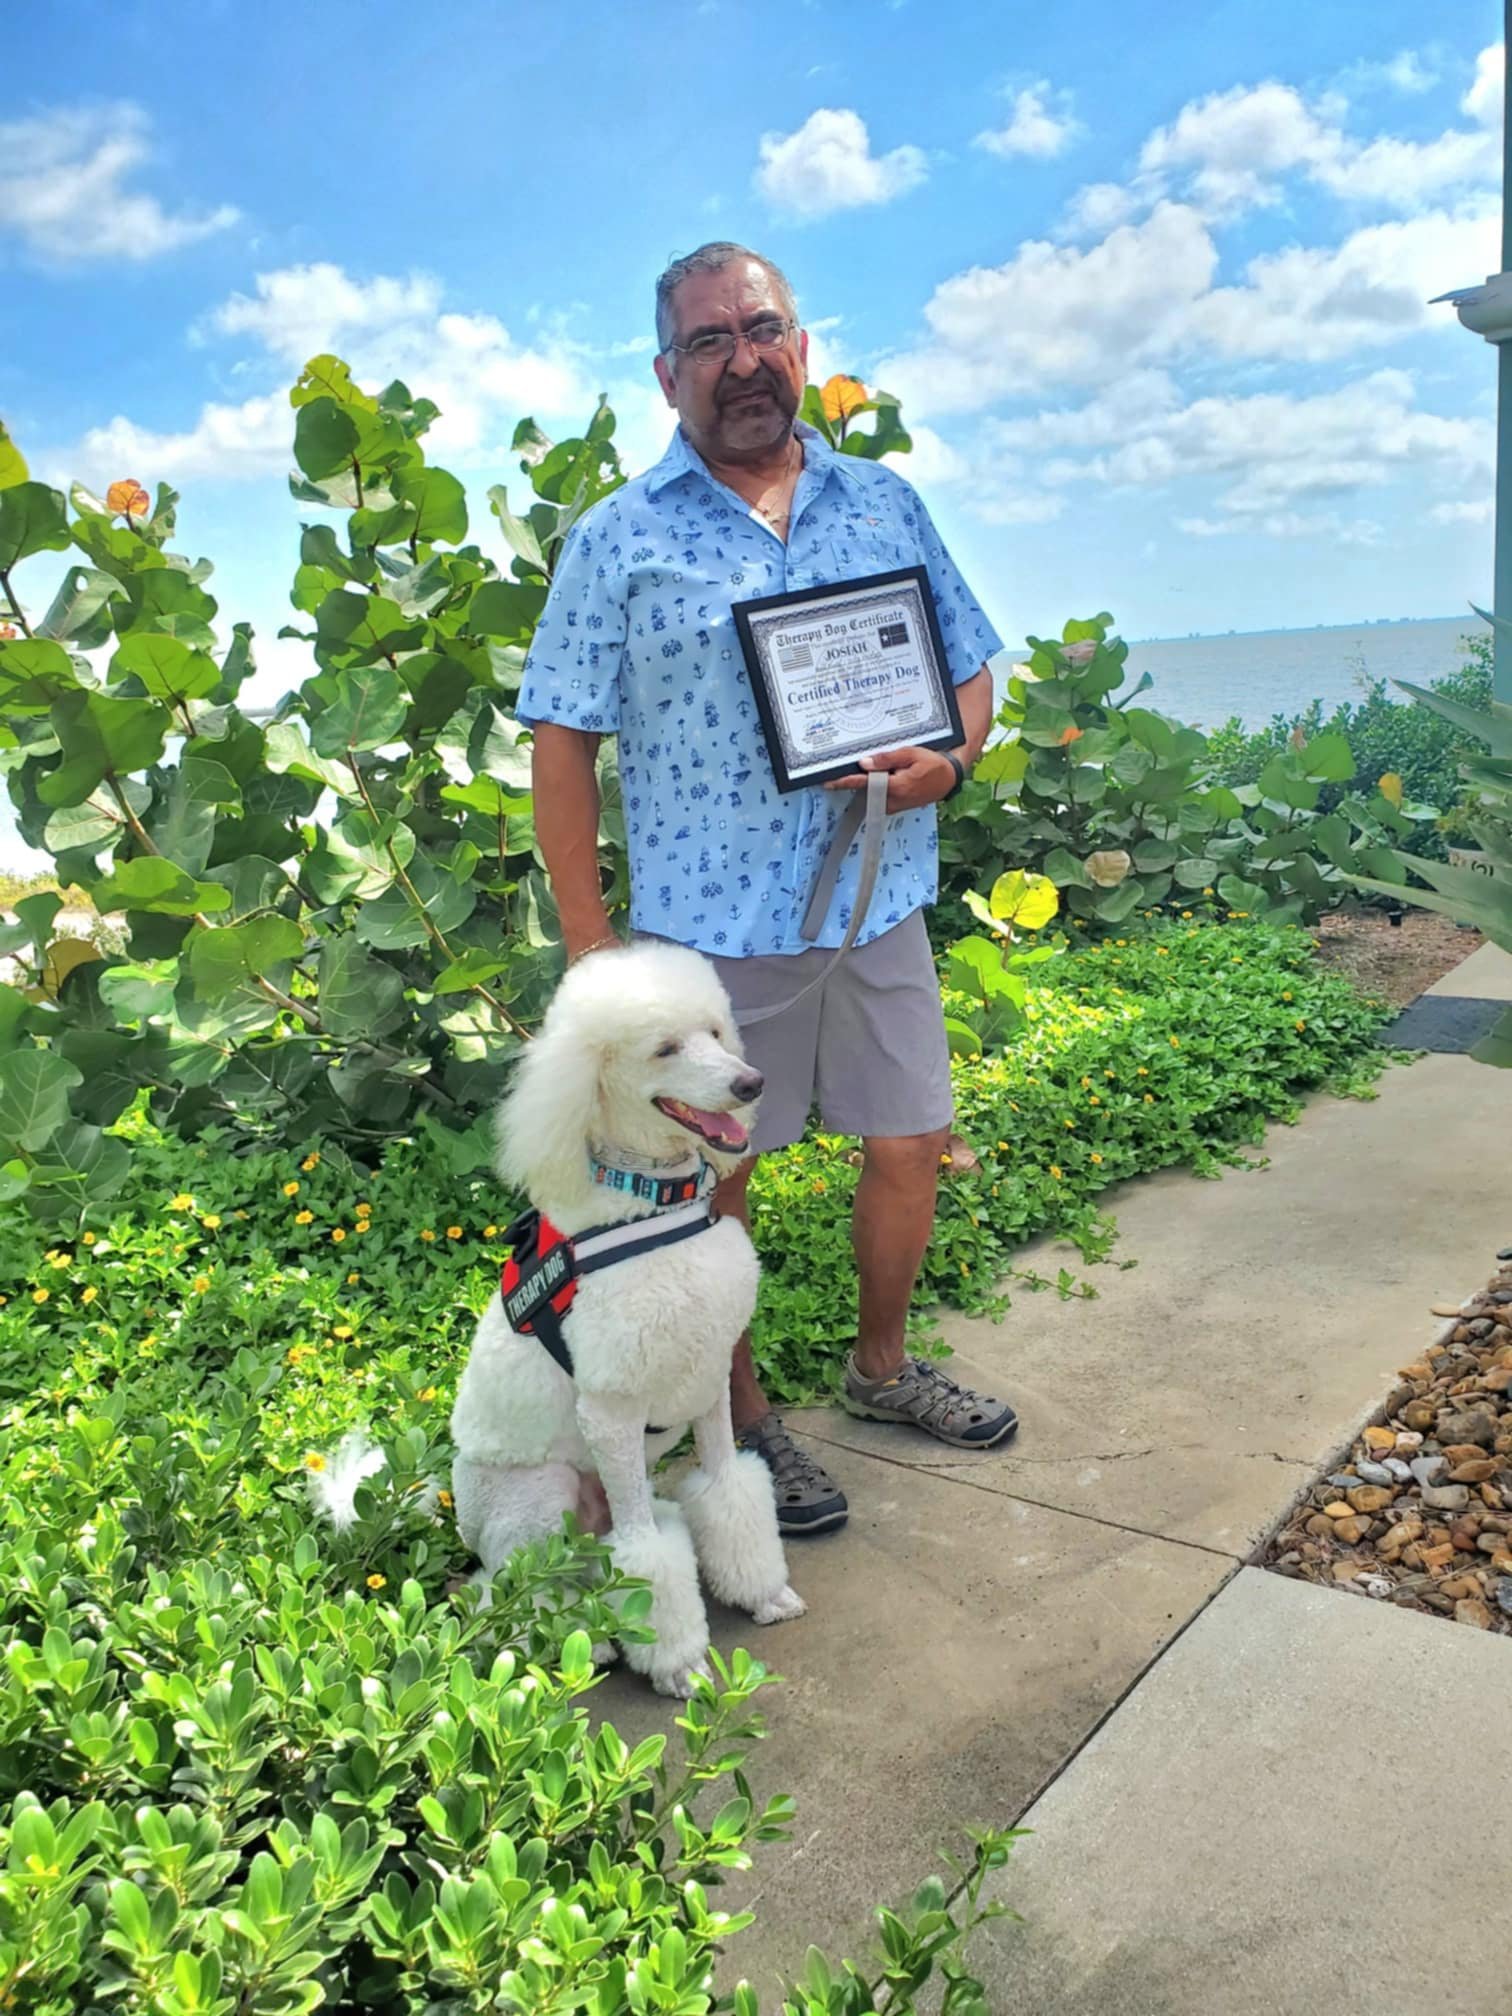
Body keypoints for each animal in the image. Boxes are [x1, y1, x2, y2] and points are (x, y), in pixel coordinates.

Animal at [319, 941, 804, 1697]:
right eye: (665, 1048)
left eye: (715, 1032)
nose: (750, 1084)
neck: (647, 1203)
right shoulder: (610, 1410)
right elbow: (642, 1555)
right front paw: (681, 1664)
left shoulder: (708, 1379)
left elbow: (729, 1487)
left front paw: (761, 1593)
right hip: (540, 1498)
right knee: (505, 1592)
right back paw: (585, 1644)